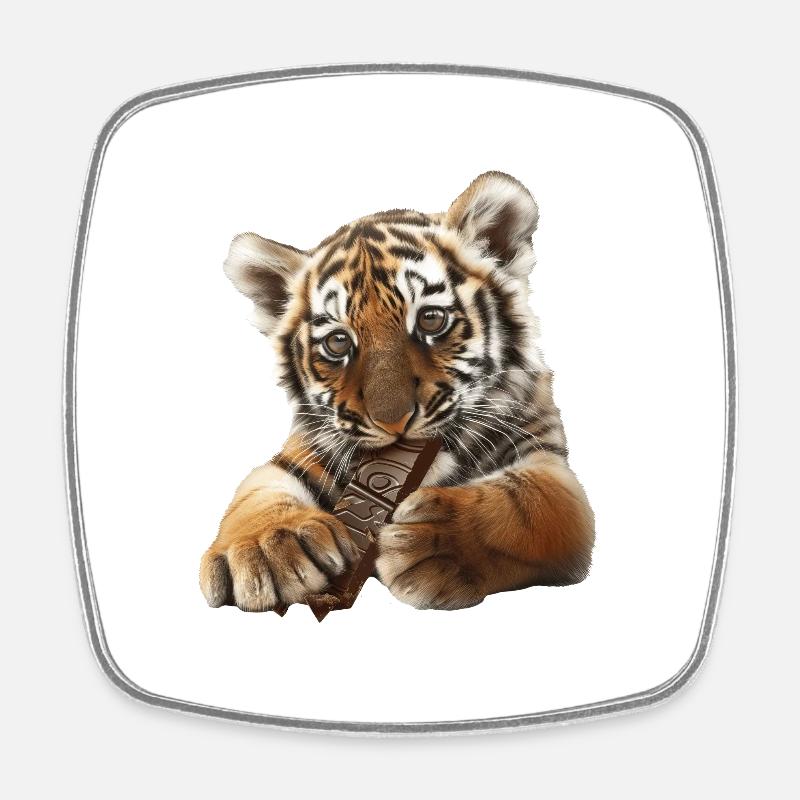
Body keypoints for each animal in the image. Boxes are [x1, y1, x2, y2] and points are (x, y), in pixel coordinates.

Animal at [199, 171, 595, 613]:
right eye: (338, 342)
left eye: (431, 319)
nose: (393, 421)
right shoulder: (297, 455)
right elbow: (255, 494)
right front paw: (266, 548)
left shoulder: (550, 462)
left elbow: (530, 503)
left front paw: (434, 543)